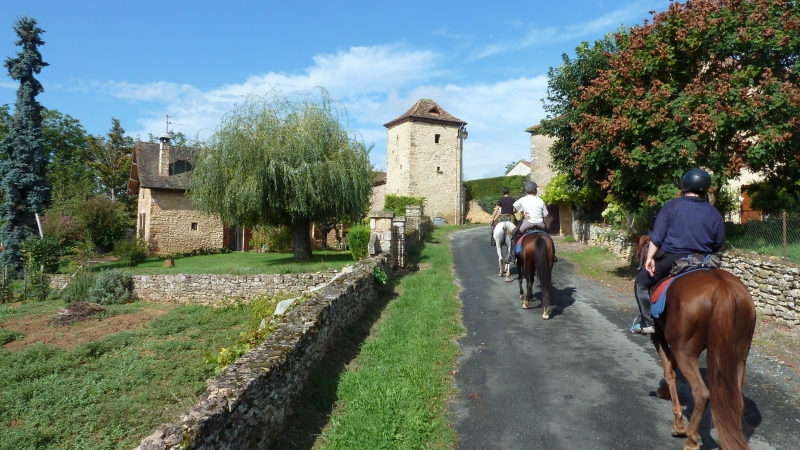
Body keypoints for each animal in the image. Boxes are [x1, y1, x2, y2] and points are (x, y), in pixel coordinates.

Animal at [636, 234, 752, 448]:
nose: (642, 265)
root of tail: (723, 288)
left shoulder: (659, 336)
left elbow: (669, 371)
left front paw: (678, 421)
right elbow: (671, 366)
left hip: (686, 353)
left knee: (702, 393)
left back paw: (690, 437)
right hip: (739, 356)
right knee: (737, 400)